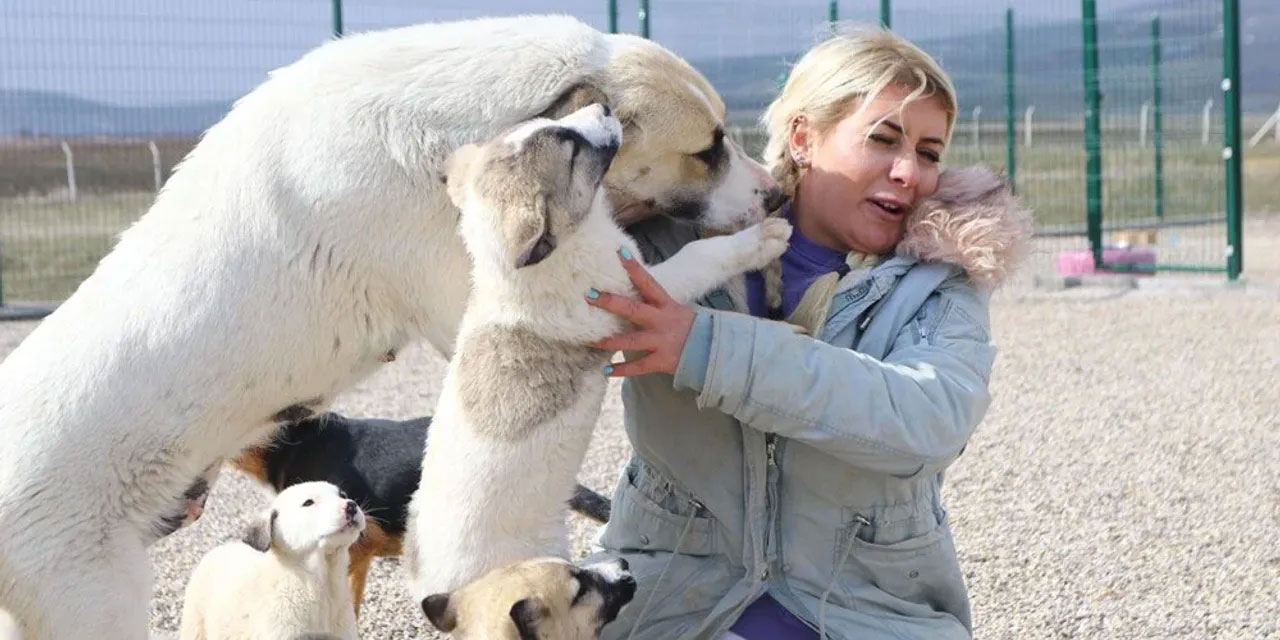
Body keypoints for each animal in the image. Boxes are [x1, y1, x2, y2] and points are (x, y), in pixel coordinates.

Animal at [404, 104, 793, 599]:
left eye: (546, 123)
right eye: (570, 148)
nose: (605, 107)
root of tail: (435, 590)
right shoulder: (647, 290)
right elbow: (701, 257)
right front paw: (761, 239)